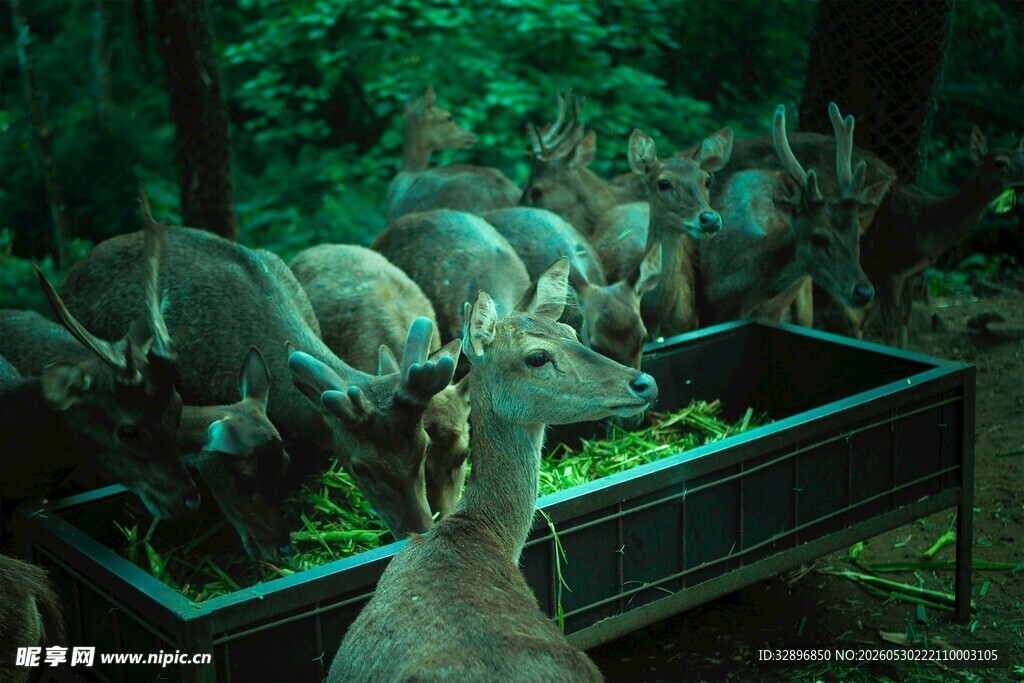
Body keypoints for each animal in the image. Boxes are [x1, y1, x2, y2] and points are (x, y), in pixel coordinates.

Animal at [852, 128, 1024, 347]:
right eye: (1000, 162)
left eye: (1022, 156)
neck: (929, 228)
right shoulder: (890, 269)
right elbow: (890, 325)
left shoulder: (913, 274)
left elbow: (904, 319)